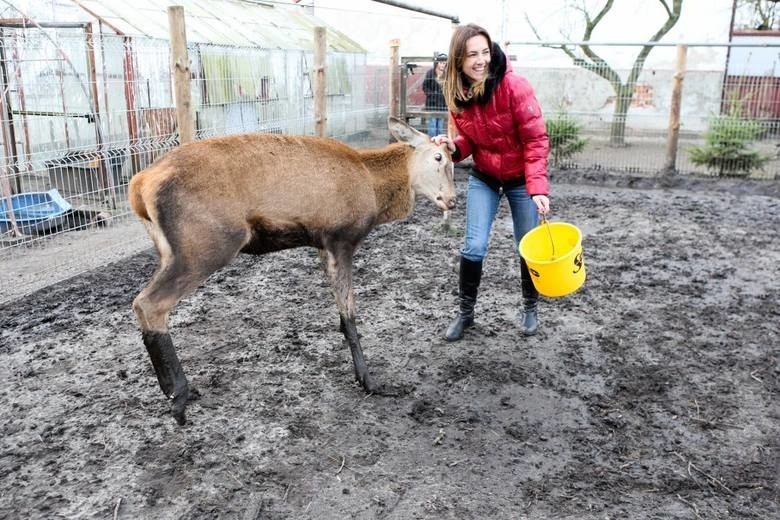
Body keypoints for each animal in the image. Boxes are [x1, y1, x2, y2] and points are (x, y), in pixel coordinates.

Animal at [129, 117, 458, 422]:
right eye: (439, 158)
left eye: (454, 160)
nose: (453, 200)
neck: (375, 194)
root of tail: (138, 187)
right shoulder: (341, 238)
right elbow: (350, 315)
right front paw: (368, 381)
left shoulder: (322, 245)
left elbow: (341, 316)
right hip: (205, 245)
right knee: (148, 303)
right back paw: (179, 395)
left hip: (170, 251)